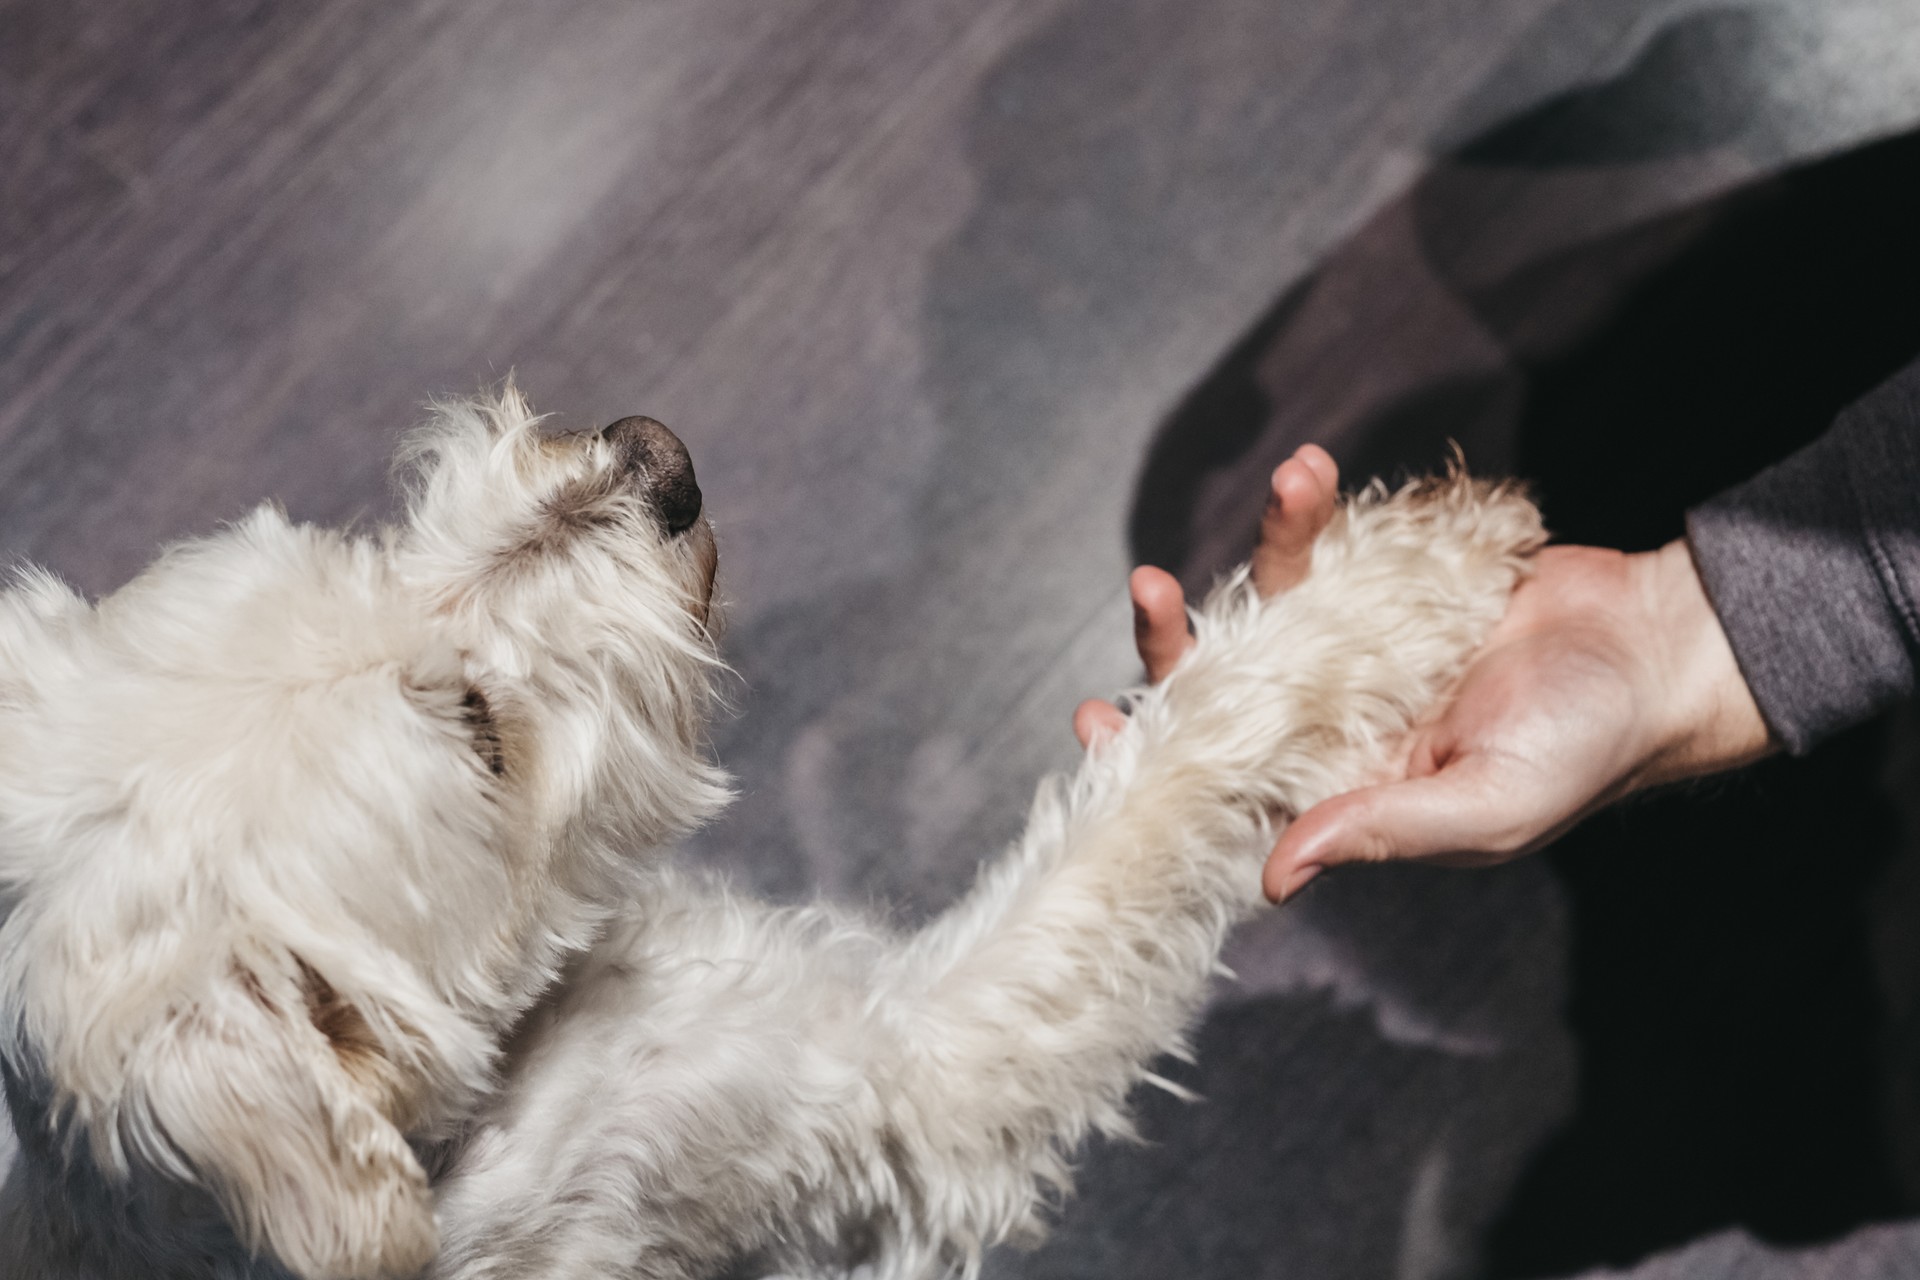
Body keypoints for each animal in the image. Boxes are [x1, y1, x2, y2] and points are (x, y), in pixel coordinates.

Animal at [0, 391, 1536, 1280]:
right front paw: (1387, 590)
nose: (655, 461)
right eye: (479, 735)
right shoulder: (887, 1089)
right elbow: (1151, 799)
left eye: (346, 559)